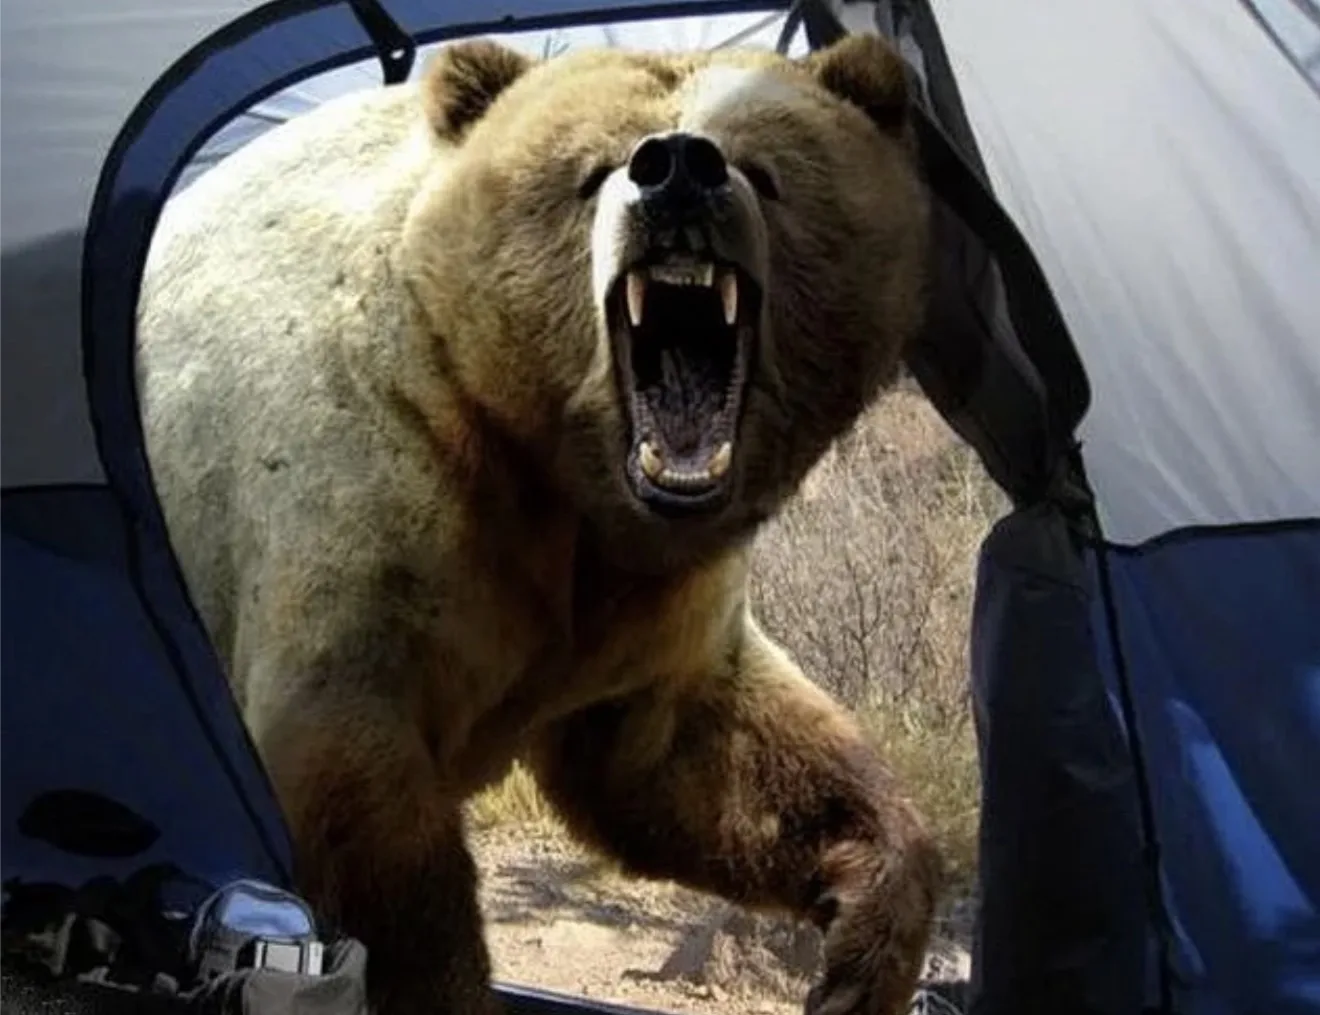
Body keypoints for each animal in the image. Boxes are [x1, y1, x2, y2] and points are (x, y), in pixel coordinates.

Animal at [136, 31, 941, 1015]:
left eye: (765, 166)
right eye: (592, 170)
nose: (680, 170)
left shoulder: (643, 618)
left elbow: (702, 759)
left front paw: (861, 952)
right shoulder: (370, 514)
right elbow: (362, 807)